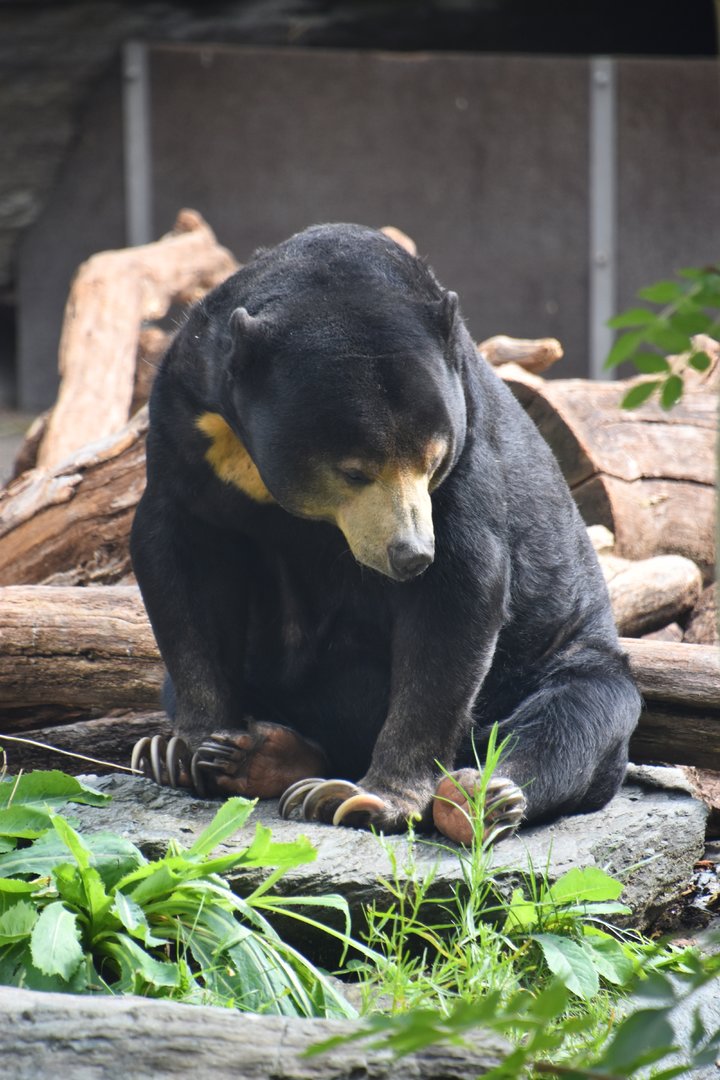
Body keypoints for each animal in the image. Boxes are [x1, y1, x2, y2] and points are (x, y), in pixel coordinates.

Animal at [130, 222, 641, 846]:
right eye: (354, 471)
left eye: (433, 458)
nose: (410, 554)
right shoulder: (184, 420)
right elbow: (179, 558)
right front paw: (188, 749)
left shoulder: (469, 441)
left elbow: (461, 588)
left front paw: (373, 799)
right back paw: (253, 754)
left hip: (565, 654)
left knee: (576, 715)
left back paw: (476, 797)